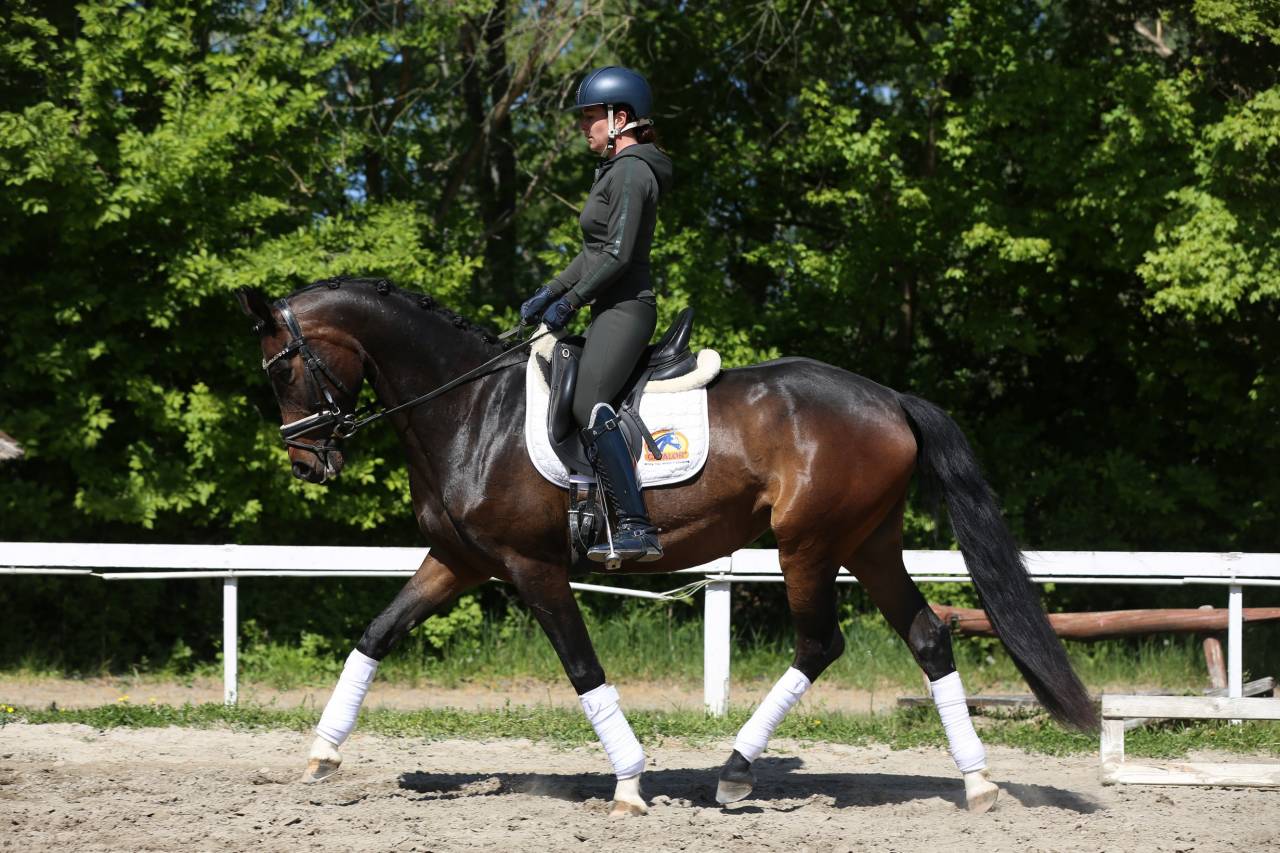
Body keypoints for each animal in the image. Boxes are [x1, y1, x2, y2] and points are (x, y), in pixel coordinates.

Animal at [234, 277, 1096, 817]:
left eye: (281, 367)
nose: (307, 461)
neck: (468, 405)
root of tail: (888, 397)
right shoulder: (460, 560)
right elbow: (376, 633)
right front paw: (320, 754)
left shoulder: (531, 568)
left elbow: (583, 668)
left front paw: (628, 781)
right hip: (868, 540)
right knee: (926, 635)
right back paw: (977, 782)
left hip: (808, 541)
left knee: (820, 642)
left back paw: (737, 772)